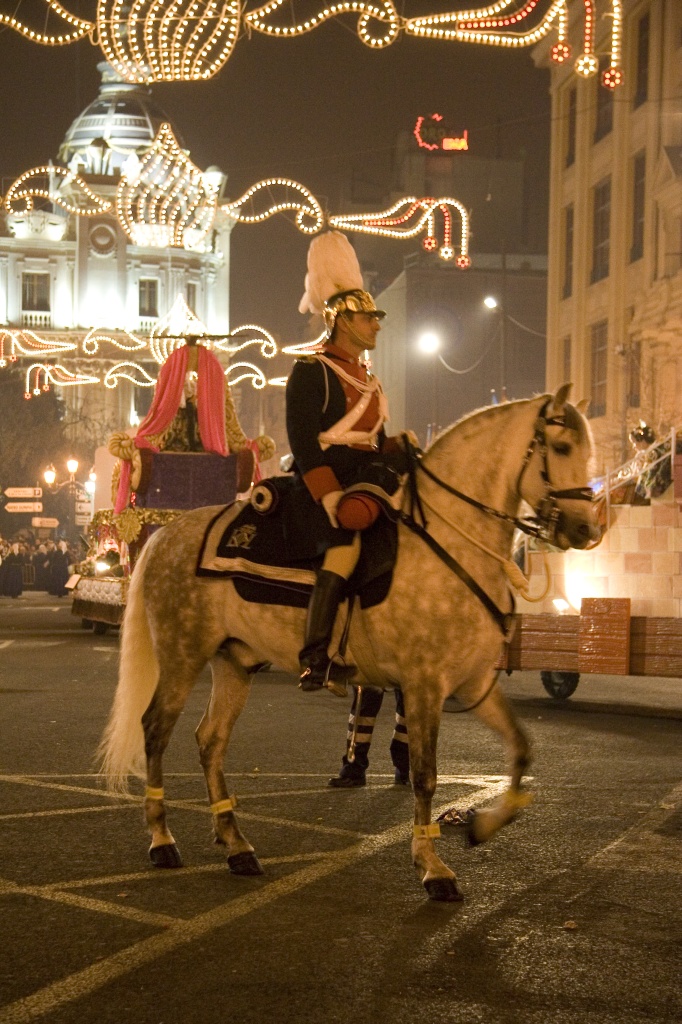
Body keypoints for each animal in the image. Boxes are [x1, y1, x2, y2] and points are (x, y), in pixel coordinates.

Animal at [99, 387, 593, 901]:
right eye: (561, 447)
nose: (586, 530)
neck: (452, 541)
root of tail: (165, 533)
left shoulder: (475, 683)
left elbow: (521, 747)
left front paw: (482, 826)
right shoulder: (424, 685)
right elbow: (425, 776)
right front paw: (432, 867)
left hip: (232, 664)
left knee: (210, 741)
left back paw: (236, 845)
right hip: (181, 657)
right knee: (155, 730)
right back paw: (162, 840)